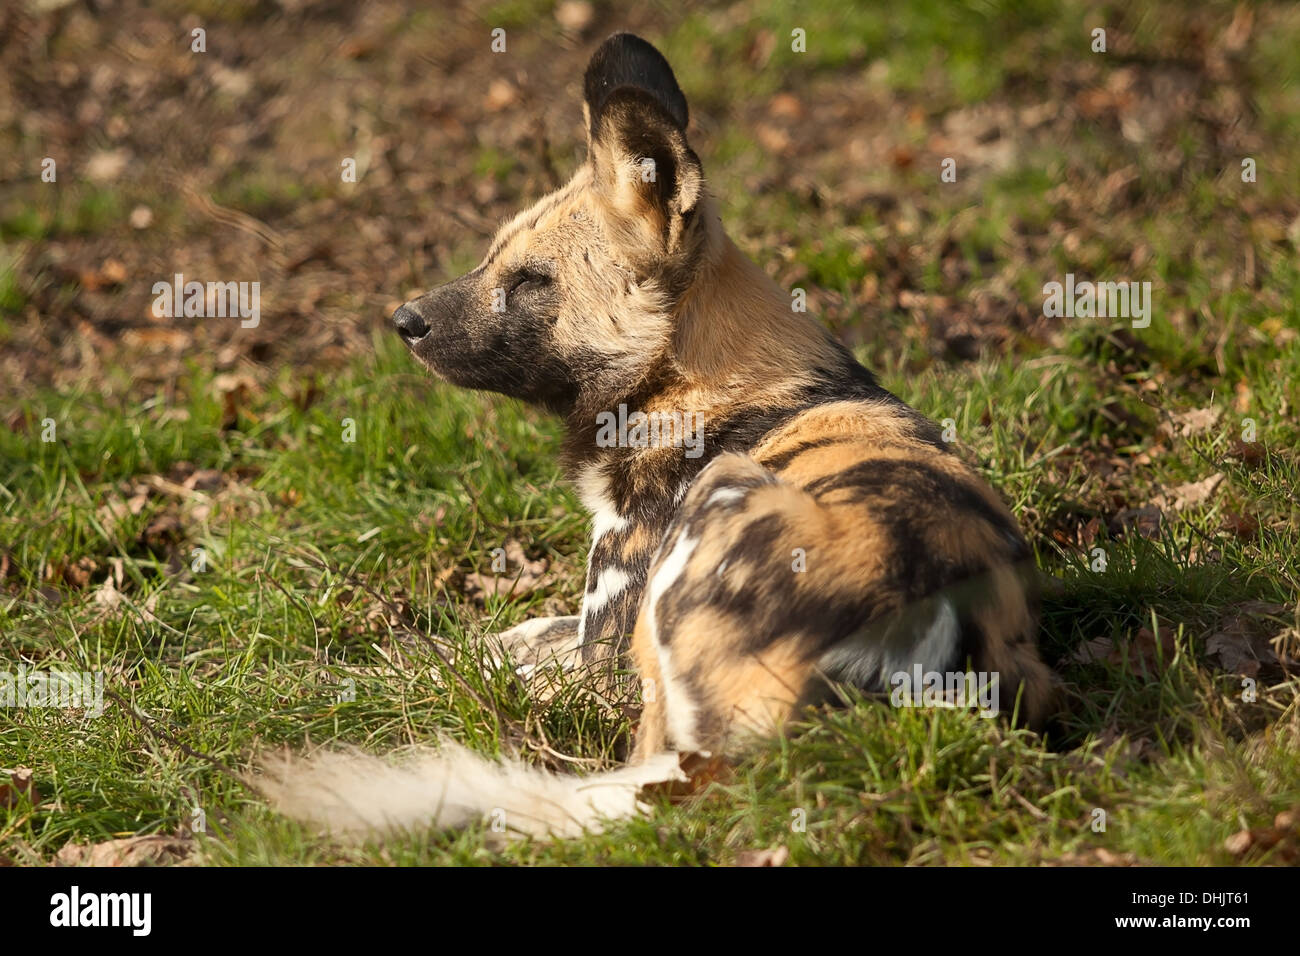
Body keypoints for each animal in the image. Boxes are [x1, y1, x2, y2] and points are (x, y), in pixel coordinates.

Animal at [263, 29, 1055, 837]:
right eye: (488, 258)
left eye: (530, 281)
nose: (404, 320)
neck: (692, 385)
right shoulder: (581, 628)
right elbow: (490, 640)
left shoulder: (603, 658)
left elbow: (455, 670)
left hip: (717, 512)